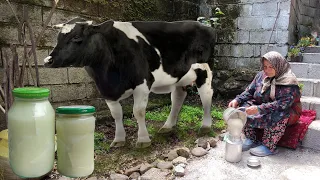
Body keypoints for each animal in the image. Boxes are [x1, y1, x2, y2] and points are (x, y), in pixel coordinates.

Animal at [43, 17, 216, 148]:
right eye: (58, 38)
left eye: (76, 38)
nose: (47, 60)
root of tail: (204, 24)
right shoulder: (106, 90)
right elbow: (116, 114)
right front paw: (118, 139)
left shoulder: (142, 83)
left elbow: (138, 111)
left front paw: (143, 140)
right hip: (179, 76)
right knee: (178, 97)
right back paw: (168, 126)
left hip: (204, 69)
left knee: (206, 95)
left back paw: (206, 126)